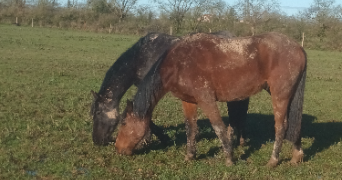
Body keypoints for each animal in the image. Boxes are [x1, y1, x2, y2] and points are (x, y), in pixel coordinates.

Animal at [115, 32, 308, 167]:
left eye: (123, 123)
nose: (118, 149)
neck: (179, 62)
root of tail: (298, 48)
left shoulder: (206, 100)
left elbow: (218, 127)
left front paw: (229, 159)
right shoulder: (189, 101)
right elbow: (190, 128)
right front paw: (190, 156)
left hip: (279, 96)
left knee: (281, 126)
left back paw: (273, 161)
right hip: (289, 96)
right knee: (294, 123)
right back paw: (296, 155)